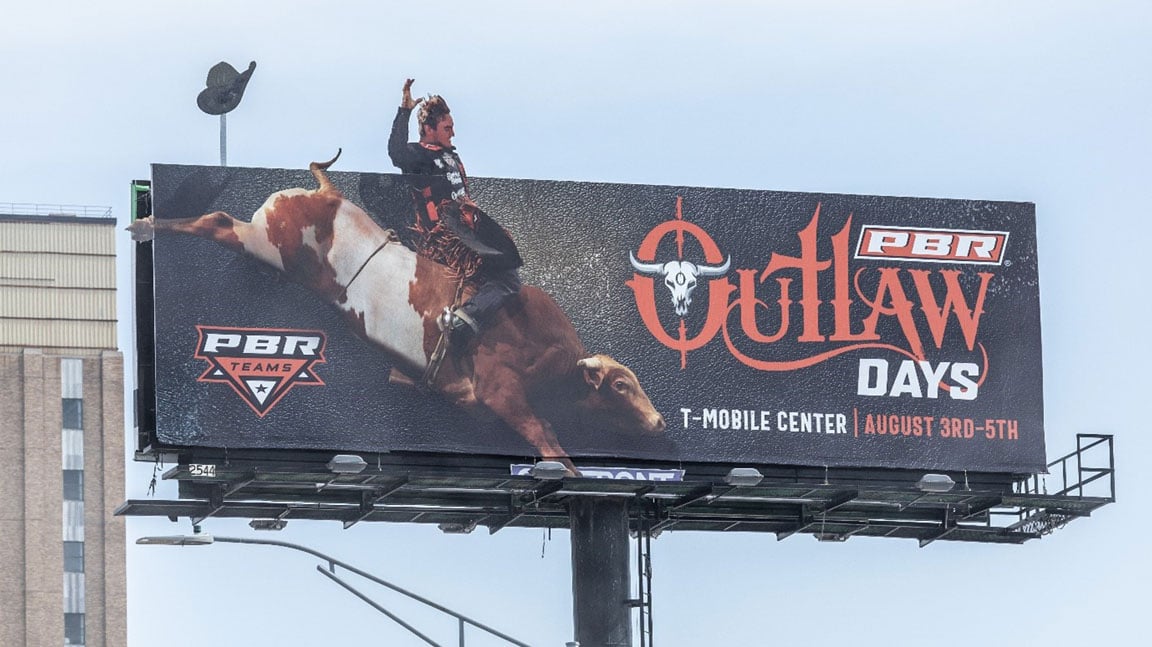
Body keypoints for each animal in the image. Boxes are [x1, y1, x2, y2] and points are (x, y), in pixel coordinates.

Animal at [127, 151, 668, 474]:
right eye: (621, 386)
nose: (661, 422)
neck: (552, 354)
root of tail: (328, 194)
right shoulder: (503, 393)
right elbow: (551, 443)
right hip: (263, 241)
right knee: (216, 220)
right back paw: (145, 225)